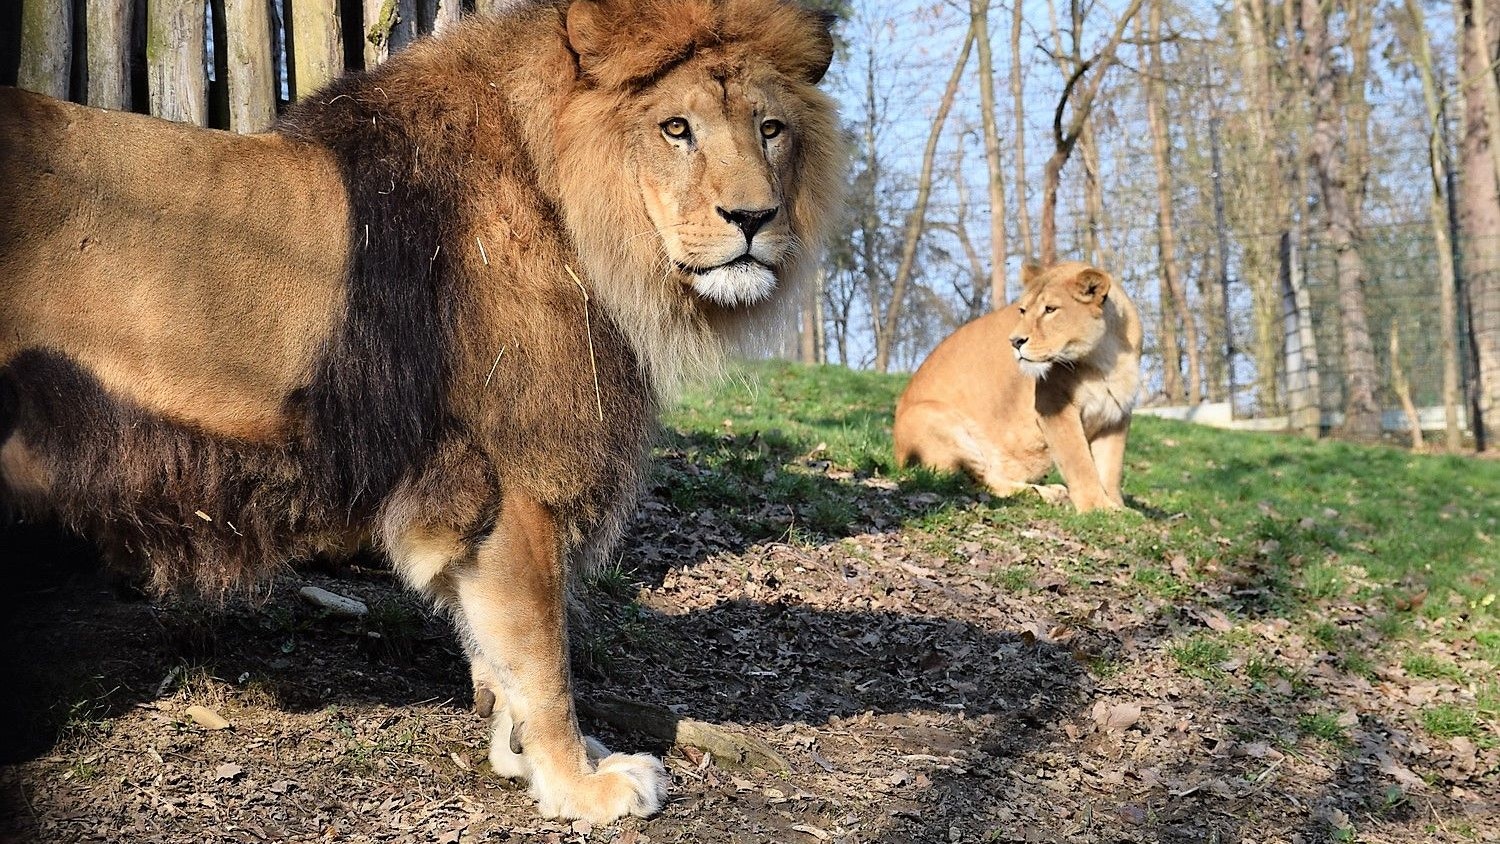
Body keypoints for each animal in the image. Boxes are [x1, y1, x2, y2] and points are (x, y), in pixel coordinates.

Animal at [0, 0, 843, 823]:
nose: (754, 218)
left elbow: (493, 644)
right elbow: (544, 653)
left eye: (771, 128)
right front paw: (580, 786)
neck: (576, 212)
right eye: (676, 129)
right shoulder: (520, 479)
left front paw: (521, 756)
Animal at [893, 261, 1142, 512]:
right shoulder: (1054, 407)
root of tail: (897, 455)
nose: (1015, 341)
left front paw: (1119, 507)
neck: (1105, 358)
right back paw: (1046, 494)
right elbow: (1079, 462)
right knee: (980, 482)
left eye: (1050, 310)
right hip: (933, 418)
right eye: (1023, 310)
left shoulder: (1115, 416)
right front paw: (1097, 507)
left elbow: (1110, 469)